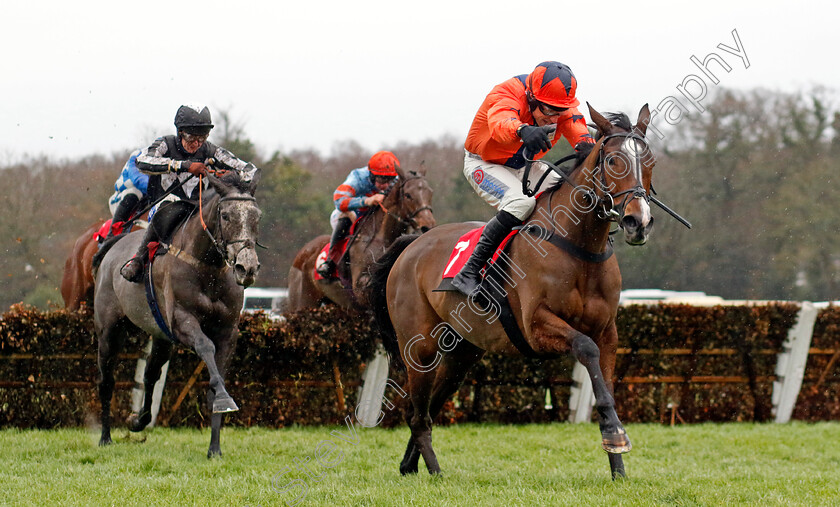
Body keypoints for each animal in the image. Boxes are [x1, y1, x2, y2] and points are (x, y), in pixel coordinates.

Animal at [94, 172, 262, 460]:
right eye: (226, 215)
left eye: (256, 216)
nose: (246, 267)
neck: (208, 266)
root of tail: (115, 243)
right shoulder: (182, 321)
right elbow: (205, 345)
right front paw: (223, 399)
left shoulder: (228, 331)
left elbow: (216, 381)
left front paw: (215, 447)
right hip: (109, 329)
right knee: (107, 380)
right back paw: (105, 437)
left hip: (160, 335)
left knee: (150, 374)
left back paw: (139, 420)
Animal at [288, 165, 436, 312]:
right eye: (408, 195)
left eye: (430, 193)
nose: (427, 226)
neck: (381, 239)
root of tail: (302, 252)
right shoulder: (360, 289)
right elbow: (341, 197)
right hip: (303, 302)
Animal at [370, 104, 660, 480]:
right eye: (613, 161)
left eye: (650, 161)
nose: (638, 222)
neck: (579, 245)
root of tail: (411, 244)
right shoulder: (536, 326)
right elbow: (585, 348)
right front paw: (614, 435)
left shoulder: (608, 331)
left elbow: (604, 384)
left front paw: (618, 466)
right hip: (420, 350)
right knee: (416, 414)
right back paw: (435, 472)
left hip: (461, 354)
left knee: (427, 409)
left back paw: (409, 465)